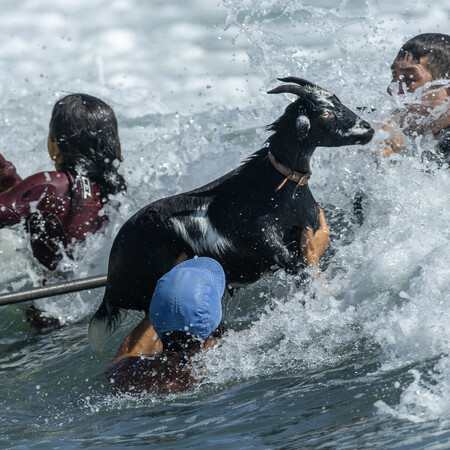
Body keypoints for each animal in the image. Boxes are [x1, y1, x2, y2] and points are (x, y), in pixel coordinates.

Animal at [87, 77, 372, 352]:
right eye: (324, 113)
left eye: (338, 101)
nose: (368, 129)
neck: (275, 188)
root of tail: (112, 279)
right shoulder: (273, 244)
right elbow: (302, 271)